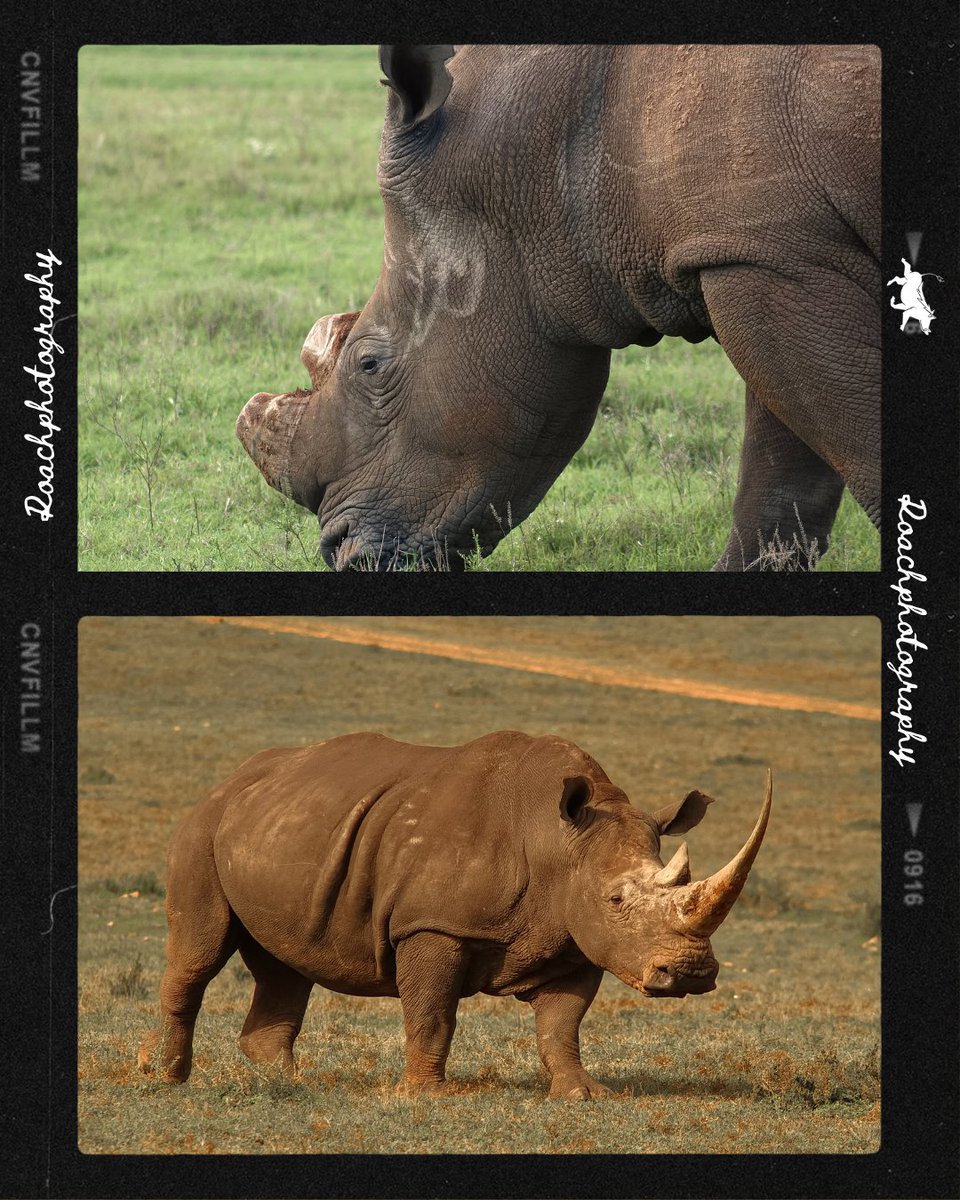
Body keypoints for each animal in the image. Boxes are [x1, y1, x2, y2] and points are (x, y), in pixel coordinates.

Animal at [138, 731, 772, 1099]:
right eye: (616, 901)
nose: (690, 974)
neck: (558, 841)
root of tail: (230, 783)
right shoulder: (432, 923)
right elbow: (432, 1012)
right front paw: (427, 1096)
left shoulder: (574, 934)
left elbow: (562, 1023)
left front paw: (582, 1094)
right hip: (200, 833)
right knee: (199, 950)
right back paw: (164, 1076)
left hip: (280, 828)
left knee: (285, 961)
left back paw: (290, 1084)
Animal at [236, 43, 879, 571]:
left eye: (369, 365)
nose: (337, 550)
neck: (549, 154)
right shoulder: (754, 254)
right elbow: (781, 485)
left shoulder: (774, 255)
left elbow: (857, 453)